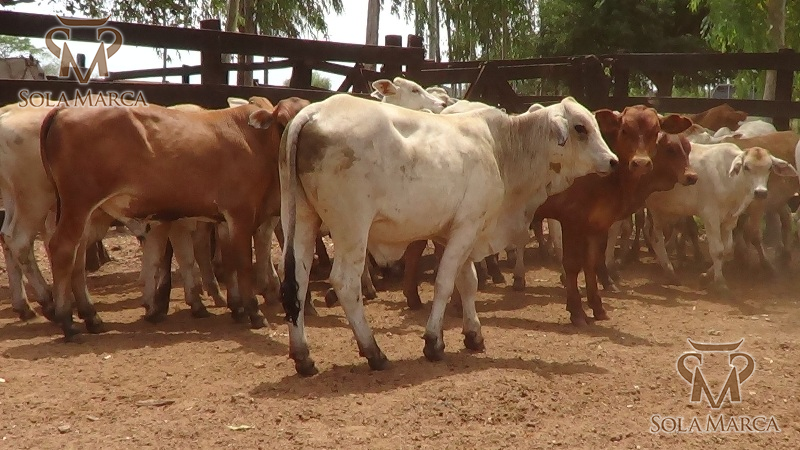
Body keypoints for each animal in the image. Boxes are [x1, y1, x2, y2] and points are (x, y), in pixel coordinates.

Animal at [39, 96, 310, 340]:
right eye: (282, 121)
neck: (255, 141)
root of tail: (64, 109)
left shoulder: (224, 220)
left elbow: (229, 263)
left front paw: (237, 309)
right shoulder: (240, 215)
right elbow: (242, 263)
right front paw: (253, 312)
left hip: (83, 211)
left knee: (77, 255)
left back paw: (91, 317)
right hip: (78, 204)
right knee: (63, 249)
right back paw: (68, 323)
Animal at [274, 94, 618, 375]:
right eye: (580, 128)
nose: (613, 161)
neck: (501, 148)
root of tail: (314, 112)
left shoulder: (460, 232)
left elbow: (468, 282)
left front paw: (473, 334)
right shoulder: (467, 227)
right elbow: (444, 284)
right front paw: (434, 342)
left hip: (301, 220)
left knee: (297, 281)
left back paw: (303, 356)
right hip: (352, 228)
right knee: (345, 283)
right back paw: (374, 352)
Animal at [533, 106, 693, 325]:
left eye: (655, 132)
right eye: (624, 130)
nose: (641, 163)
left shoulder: (599, 223)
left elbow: (591, 263)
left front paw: (598, 307)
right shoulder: (571, 221)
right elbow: (573, 265)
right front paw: (577, 311)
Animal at [645, 144, 797, 292]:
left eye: (769, 167)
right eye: (746, 167)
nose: (760, 192)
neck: (729, 179)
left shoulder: (730, 220)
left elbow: (727, 248)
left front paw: (705, 277)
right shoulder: (710, 216)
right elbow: (717, 250)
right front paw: (720, 283)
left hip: (659, 211)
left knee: (656, 238)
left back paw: (670, 273)